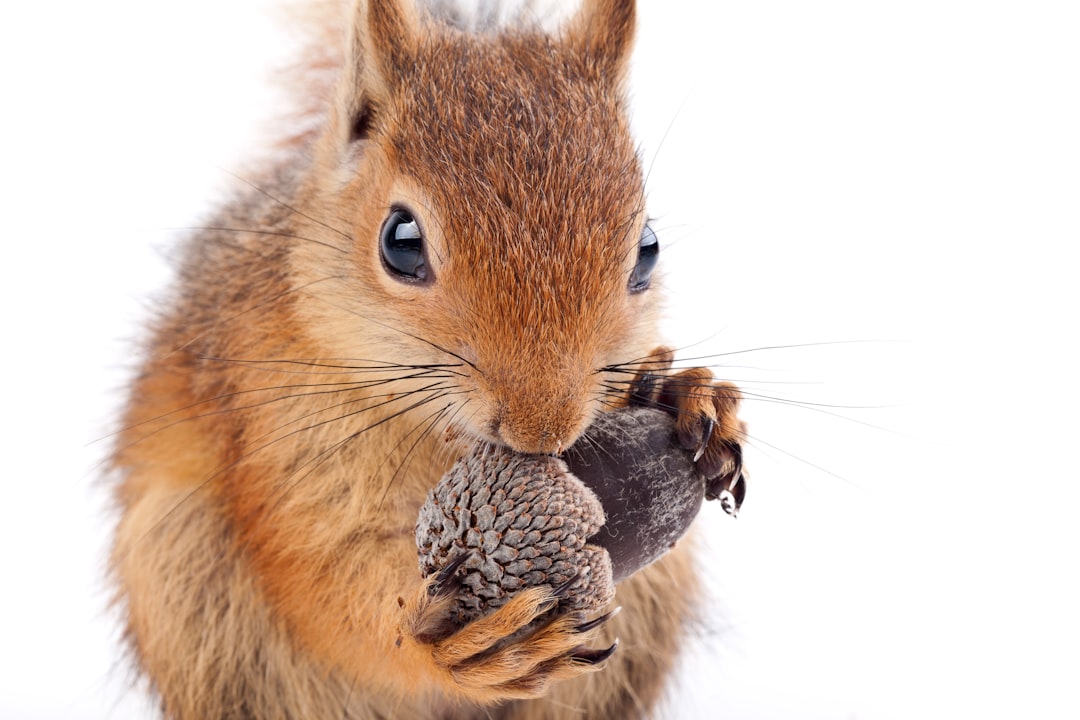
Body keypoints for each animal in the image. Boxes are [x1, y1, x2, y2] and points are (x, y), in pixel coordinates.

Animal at [111, 1, 751, 720]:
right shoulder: (271, 434)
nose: (544, 428)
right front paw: (443, 644)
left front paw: (691, 396)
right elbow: (322, 577)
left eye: (647, 248)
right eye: (400, 241)